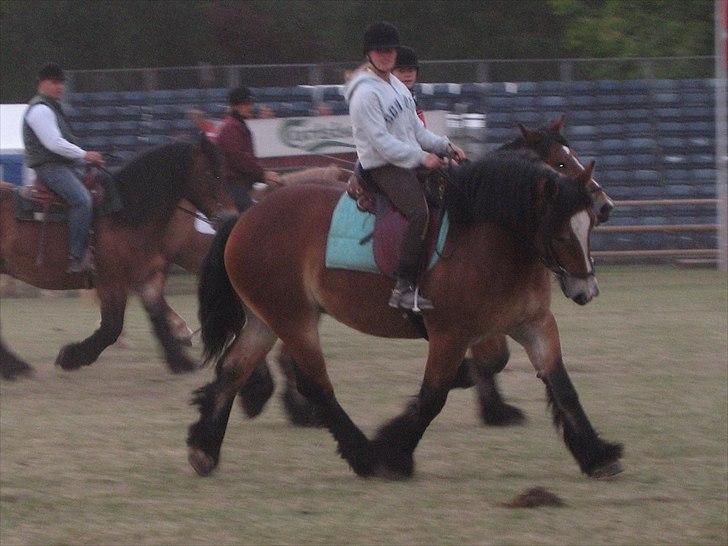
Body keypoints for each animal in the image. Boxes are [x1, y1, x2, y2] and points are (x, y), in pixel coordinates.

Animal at [0, 134, 233, 376]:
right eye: (212, 174)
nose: (229, 216)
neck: (125, 215)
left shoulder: (146, 277)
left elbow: (157, 317)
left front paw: (180, 361)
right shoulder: (112, 282)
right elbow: (112, 327)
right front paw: (71, 356)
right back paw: (15, 367)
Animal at [191, 148, 624, 476]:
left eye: (588, 228)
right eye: (561, 233)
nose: (586, 290)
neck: (490, 240)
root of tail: (245, 217)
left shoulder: (533, 324)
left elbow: (562, 386)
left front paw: (596, 454)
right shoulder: (451, 335)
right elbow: (433, 397)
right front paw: (393, 452)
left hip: (266, 319)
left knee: (233, 370)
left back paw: (204, 446)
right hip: (293, 320)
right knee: (315, 385)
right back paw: (364, 456)